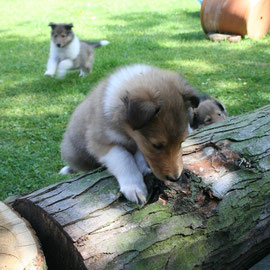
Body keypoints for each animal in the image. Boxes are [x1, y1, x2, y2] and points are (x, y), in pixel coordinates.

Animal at [61, 64, 200, 204]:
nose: (175, 178)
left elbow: (140, 154)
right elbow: (123, 158)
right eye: (156, 145)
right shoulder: (100, 141)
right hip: (76, 153)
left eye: (181, 141)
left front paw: (143, 168)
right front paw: (134, 188)